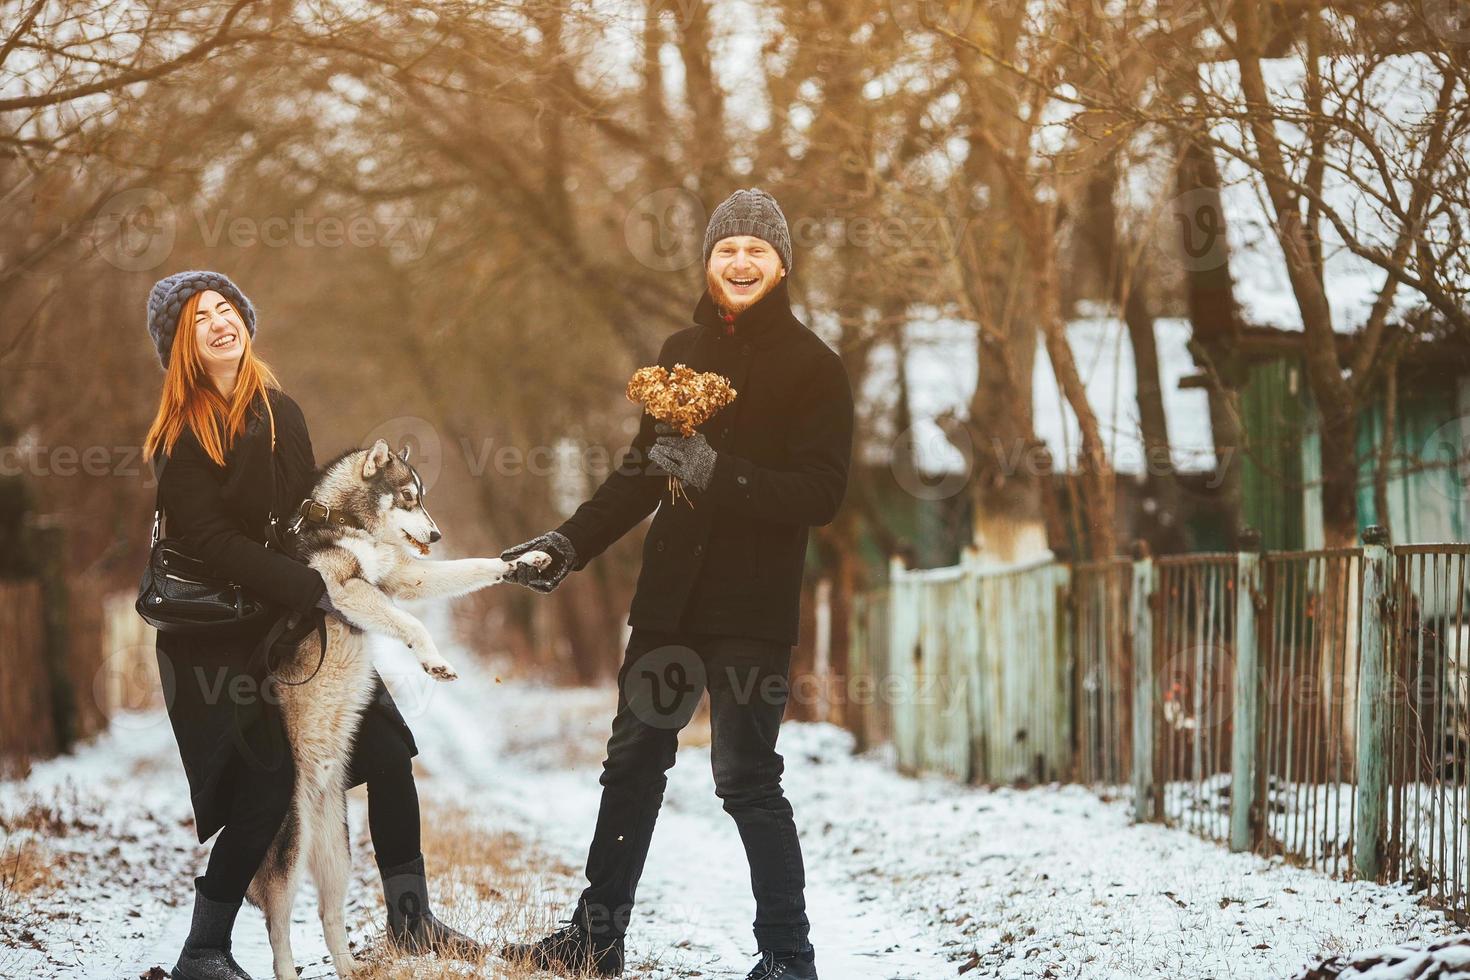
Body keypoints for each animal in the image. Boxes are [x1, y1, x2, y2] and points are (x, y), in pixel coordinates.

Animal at [246, 440, 552, 975]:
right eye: (409, 498)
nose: (437, 533)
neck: (343, 520)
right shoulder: (345, 589)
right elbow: (413, 625)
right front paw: (434, 661)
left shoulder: (405, 577)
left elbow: (477, 566)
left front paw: (525, 561)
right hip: (289, 852)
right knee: (278, 928)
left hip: (337, 853)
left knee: (329, 916)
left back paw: (351, 971)